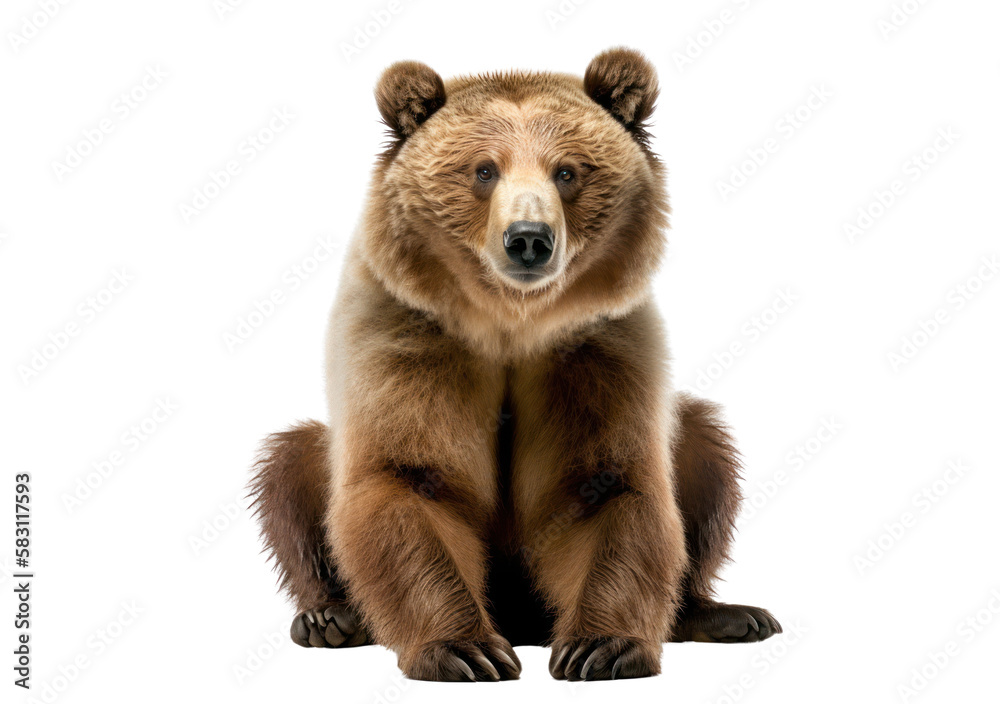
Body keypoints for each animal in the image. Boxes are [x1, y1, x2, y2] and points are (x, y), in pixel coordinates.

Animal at [250, 47, 781, 682]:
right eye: (483, 171)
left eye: (568, 171)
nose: (528, 238)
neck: (511, 326)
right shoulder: (409, 339)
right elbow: (404, 477)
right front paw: (464, 648)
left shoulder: (595, 353)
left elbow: (611, 486)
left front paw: (601, 646)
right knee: (293, 465)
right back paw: (330, 617)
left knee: (706, 452)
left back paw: (724, 615)